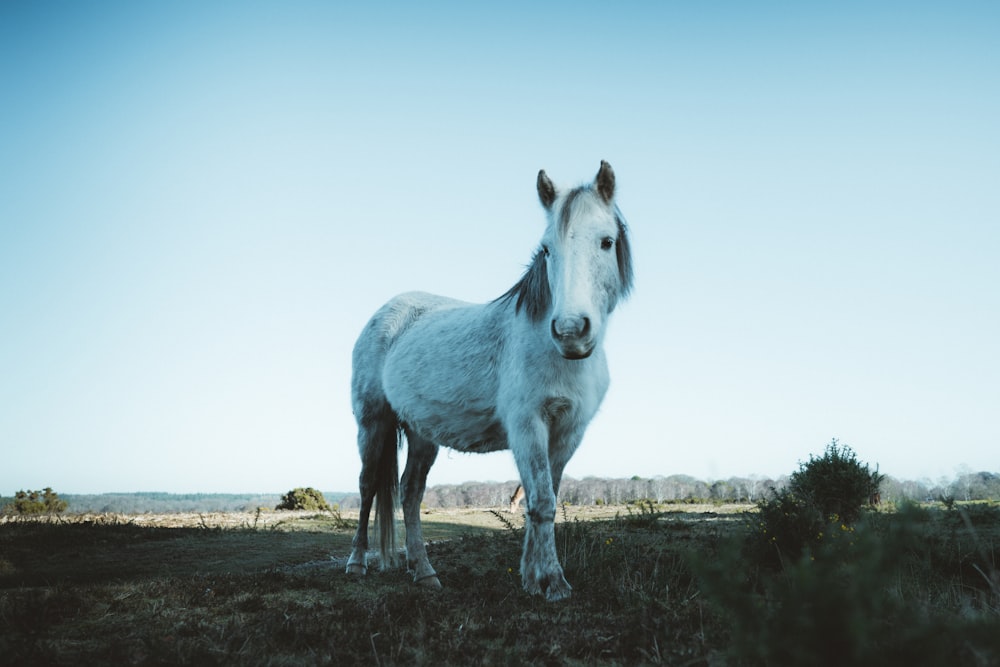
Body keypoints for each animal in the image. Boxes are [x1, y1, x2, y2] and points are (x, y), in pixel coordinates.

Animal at [346, 160, 632, 600]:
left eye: (606, 242)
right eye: (547, 249)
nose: (570, 331)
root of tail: (387, 312)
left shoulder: (567, 433)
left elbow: (542, 498)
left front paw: (532, 579)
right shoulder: (528, 427)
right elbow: (542, 502)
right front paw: (554, 584)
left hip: (422, 433)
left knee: (410, 493)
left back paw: (424, 572)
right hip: (373, 422)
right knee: (366, 487)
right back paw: (357, 563)